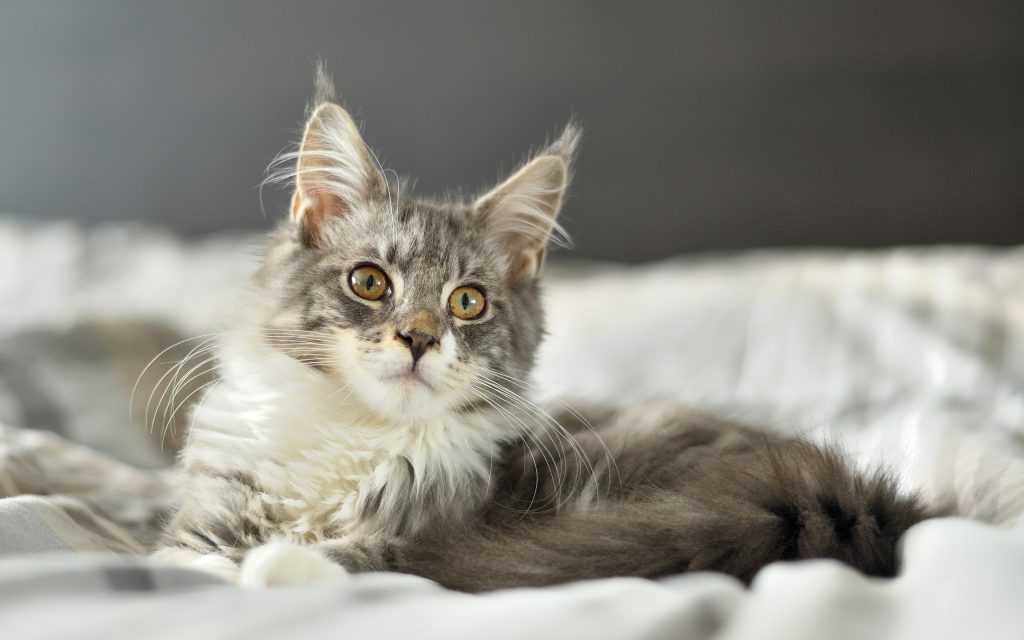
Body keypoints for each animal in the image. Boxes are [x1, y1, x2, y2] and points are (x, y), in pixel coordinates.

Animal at [151, 69, 929, 589]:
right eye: (370, 283)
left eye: (468, 302)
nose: (420, 339)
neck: (359, 435)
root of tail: (868, 496)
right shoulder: (210, 505)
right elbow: (185, 554)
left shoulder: (441, 534)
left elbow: (356, 555)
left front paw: (274, 562)